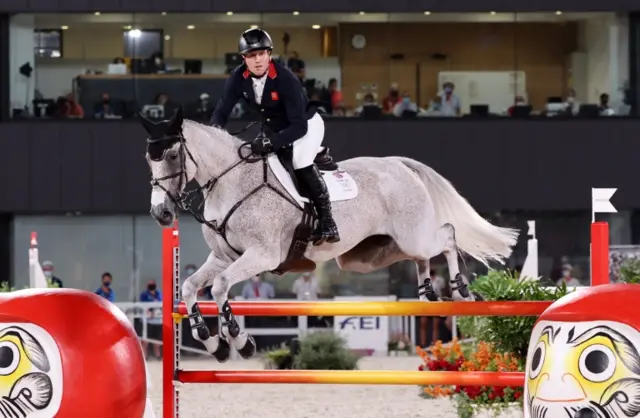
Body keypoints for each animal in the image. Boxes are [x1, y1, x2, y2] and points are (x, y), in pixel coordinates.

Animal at [142, 108, 516, 362]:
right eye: (149, 159)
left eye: (172, 155)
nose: (161, 214)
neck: (231, 183)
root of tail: (399, 164)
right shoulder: (223, 257)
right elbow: (191, 287)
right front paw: (211, 342)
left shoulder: (262, 256)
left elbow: (219, 288)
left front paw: (238, 340)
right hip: (371, 255)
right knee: (422, 256)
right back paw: (427, 292)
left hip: (412, 235)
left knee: (447, 235)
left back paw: (460, 290)